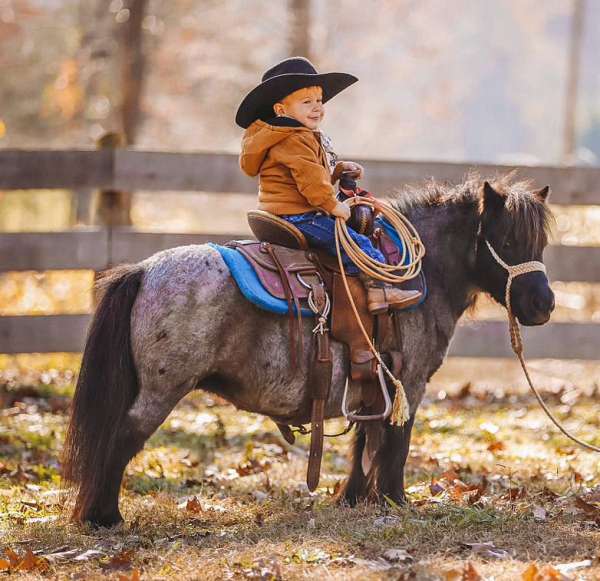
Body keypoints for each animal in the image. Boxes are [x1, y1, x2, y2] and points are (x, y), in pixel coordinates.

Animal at [61, 172, 552, 524]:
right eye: (507, 241)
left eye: (541, 242)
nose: (543, 304)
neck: (423, 275)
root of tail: (143, 271)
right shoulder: (408, 383)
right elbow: (396, 443)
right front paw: (395, 501)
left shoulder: (372, 385)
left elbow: (365, 442)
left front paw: (353, 499)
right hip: (161, 391)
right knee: (122, 439)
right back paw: (104, 517)